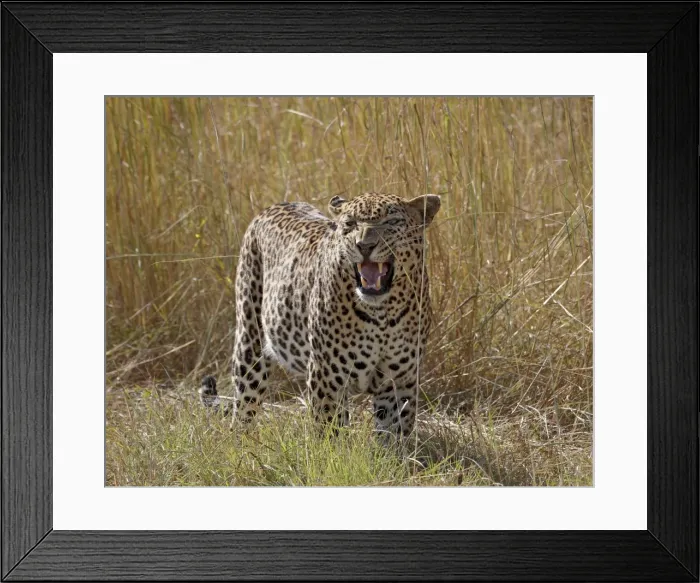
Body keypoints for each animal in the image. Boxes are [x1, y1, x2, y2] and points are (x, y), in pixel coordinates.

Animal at [199, 191, 441, 441]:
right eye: (350, 224)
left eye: (391, 222)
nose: (364, 245)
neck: (381, 313)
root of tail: (277, 205)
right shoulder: (325, 377)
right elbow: (329, 431)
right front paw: (333, 450)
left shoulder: (398, 381)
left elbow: (393, 434)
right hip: (250, 341)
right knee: (244, 406)